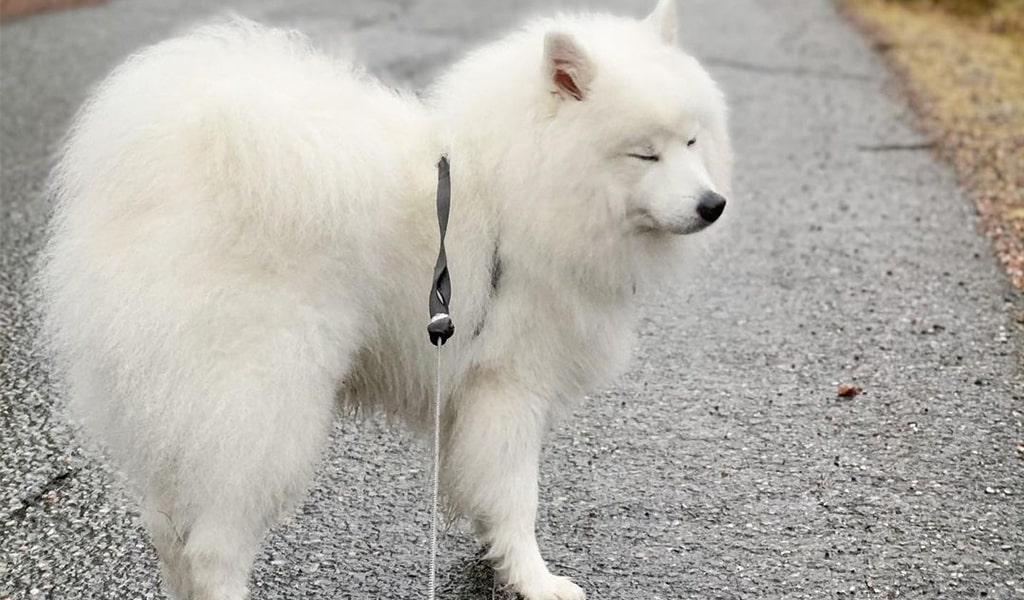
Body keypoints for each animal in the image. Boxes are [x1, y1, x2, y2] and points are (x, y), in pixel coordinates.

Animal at [37, 1, 729, 593]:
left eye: (694, 142)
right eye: (644, 154)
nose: (713, 205)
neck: (520, 186)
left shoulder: (467, 390)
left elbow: (481, 487)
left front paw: (491, 552)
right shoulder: (508, 386)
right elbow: (518, 496)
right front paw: (534, 579)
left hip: (173, 414)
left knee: (168, 532)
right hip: (265, 408)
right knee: (213, 550)